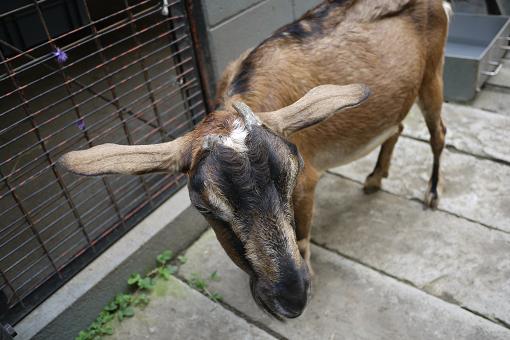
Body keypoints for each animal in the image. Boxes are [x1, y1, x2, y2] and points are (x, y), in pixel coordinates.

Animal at [59, 0, 450, 318]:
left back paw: (431, 194)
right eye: (203, 206)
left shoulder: (308, 184)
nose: (291, 299)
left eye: (293, 175)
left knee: (439, 132)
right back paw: (374, 179)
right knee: (397, 126)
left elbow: (303, 236)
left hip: (433, 74)